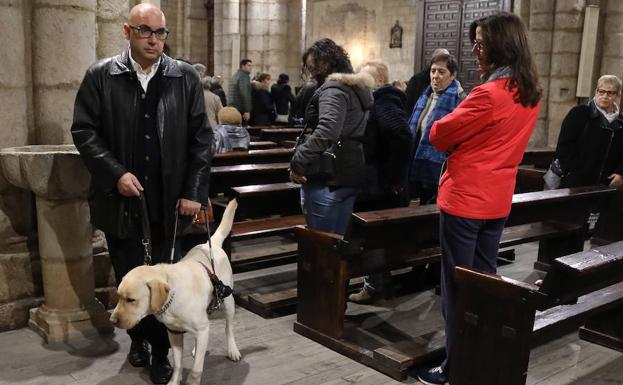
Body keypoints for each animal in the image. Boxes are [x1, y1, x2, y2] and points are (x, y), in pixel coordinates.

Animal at [109, 200, 241, 382]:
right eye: (119, 297)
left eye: (131, 300)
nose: (112, 321)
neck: (172, 297)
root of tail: (211, 243)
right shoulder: (174, 332)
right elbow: (178, 365)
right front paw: (173, 381)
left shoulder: (199, 328)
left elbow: (196, 371)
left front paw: (192, 381)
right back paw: (197, 349)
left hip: (228, 302)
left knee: (228, 328)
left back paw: (232, 349)